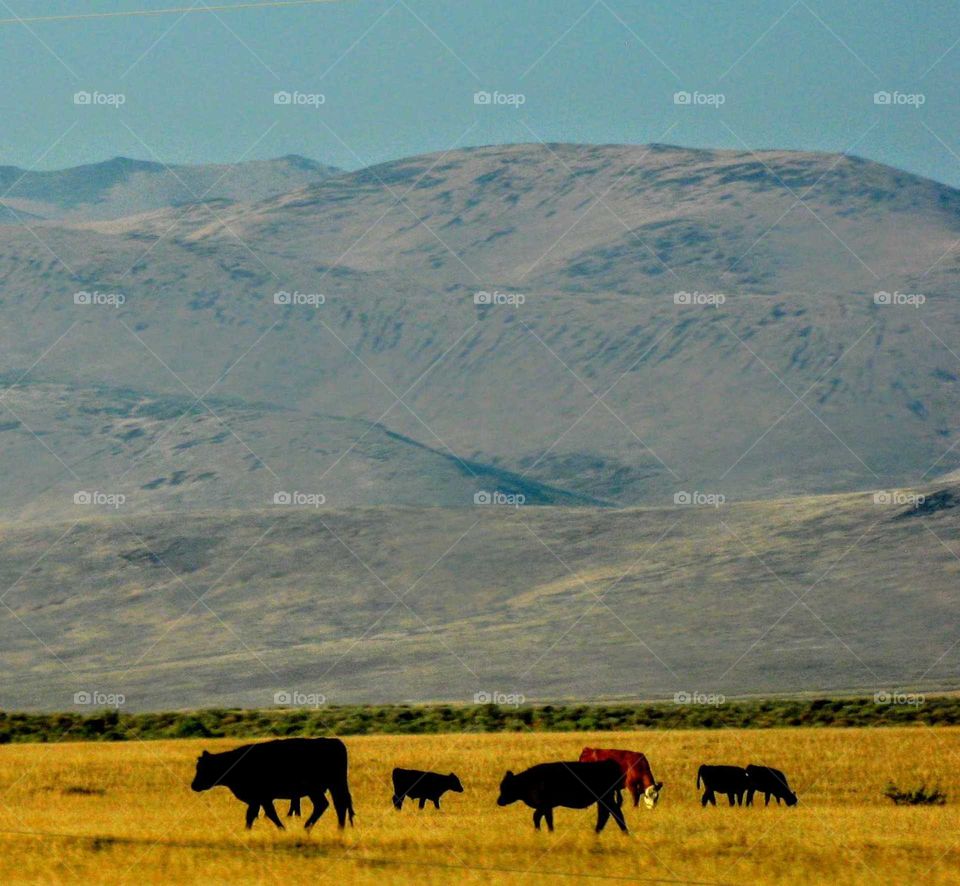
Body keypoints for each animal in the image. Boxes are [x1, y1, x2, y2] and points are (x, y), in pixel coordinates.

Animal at [189, 736, 354, 832]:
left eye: (204, 768)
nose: (194, 785)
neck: (233, 763)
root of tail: (334, 742)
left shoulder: (262, 798)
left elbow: (269, 813)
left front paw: (282, 829)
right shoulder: (257, 800)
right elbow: (251, 815)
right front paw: (247, 830)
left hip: (318, 789)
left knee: (325, 804)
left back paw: (307, 827)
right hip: (334, 786)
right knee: (339, 805)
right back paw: (339, 829)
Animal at [496, 760, 632, 836]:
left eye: (506, 787)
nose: (499, 801)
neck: (527, 781)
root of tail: (609, 763)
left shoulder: (544, 806)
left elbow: (538, 817)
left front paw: (544, 832)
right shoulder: (547, 807)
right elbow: (544, 818)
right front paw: (544, 832)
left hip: (606, 799)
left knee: (613, 813)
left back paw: (622, 832)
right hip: (603, 800)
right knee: (606, 814)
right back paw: (599, 832)